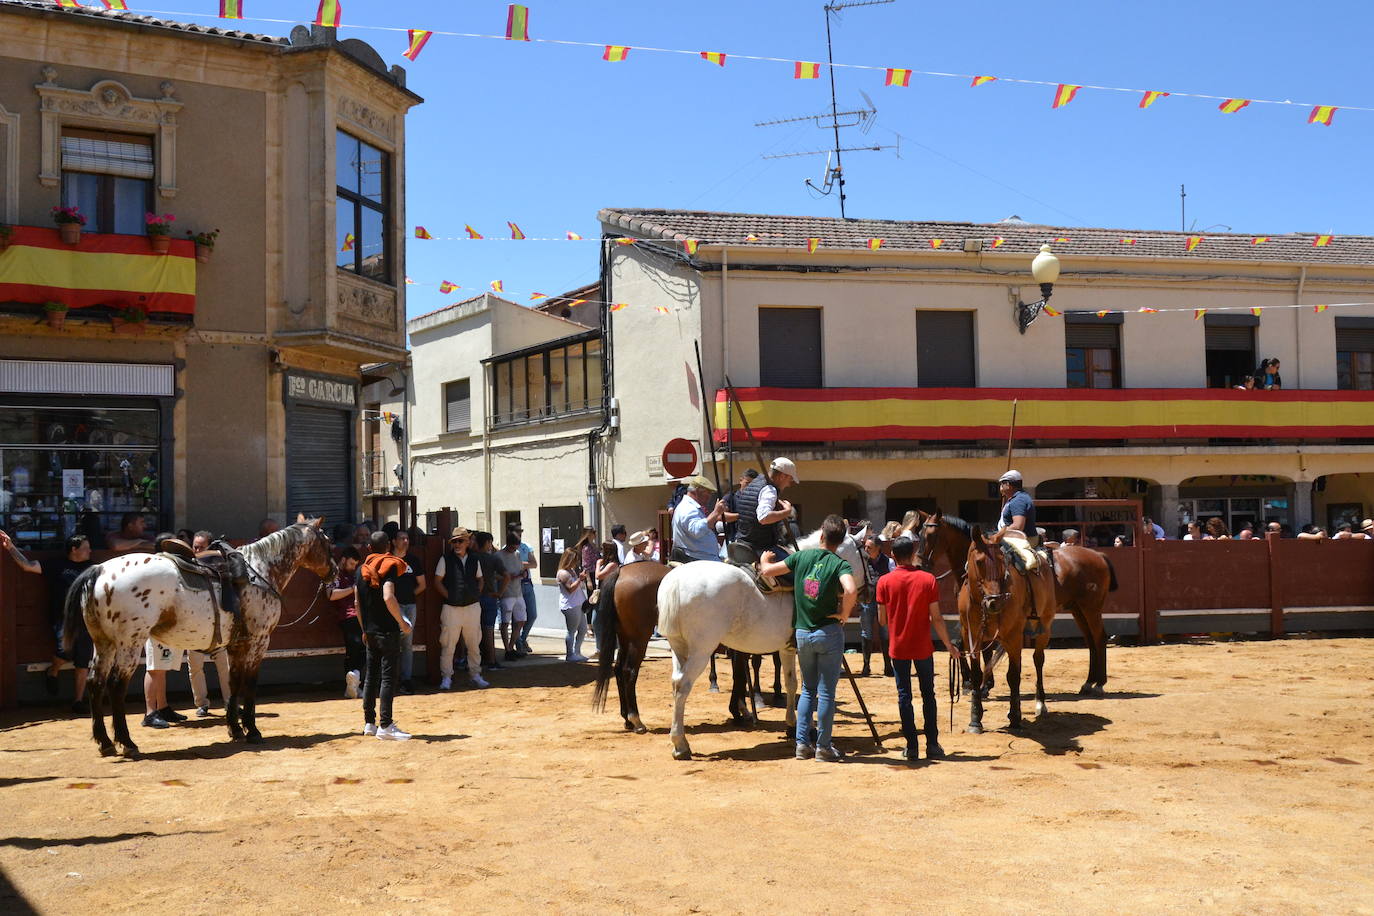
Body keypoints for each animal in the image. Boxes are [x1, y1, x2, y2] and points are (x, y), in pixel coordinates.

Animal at [66, 516, 338, 758]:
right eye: (327, 542)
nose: (334, 572)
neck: (260, 570)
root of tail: (99, 569)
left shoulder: (236, 645)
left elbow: (232, 682)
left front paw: (235, 729)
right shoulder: (258, 641)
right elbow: (249, 685)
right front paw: (252, 730)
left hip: (104, 643)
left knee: (95, 682)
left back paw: (105, 743)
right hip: (129, 643)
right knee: (115, 685)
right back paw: (127, 743)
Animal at [656, 527, 868, 763]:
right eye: (866, 555)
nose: (867, 592)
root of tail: (676, 579)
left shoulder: (787, 648)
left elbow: (791, 683)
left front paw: (792, 726)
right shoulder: (802, 649)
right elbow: (806, 688)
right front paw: (807, 729)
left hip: (679, 647)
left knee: (675, 682)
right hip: (701, 650)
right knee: (683, 685)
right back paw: (681, 744)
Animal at [912, 508, 1115, 694]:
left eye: (931, 535)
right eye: (919, 534)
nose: (918, 565)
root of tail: (1098, 555)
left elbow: (979, 648)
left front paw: (980, 684)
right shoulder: (973, 619)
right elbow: (964, 644)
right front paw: (974, 682)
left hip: (1091, 608)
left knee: (1099, 637)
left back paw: (1099, 683)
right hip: (1077, 609)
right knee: (1090, 640)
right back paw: (1089, 682)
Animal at [961, 527, 1055, 736]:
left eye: (1002, 561)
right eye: (979, 562)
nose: (995, 602)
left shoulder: (1013, 636)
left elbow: (1013, 675)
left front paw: (1015, 717)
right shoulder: (971, 636)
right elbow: (977, 674)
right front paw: (975, 720)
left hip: (1044, 627)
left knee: (1038, 660)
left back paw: (1041, 704)